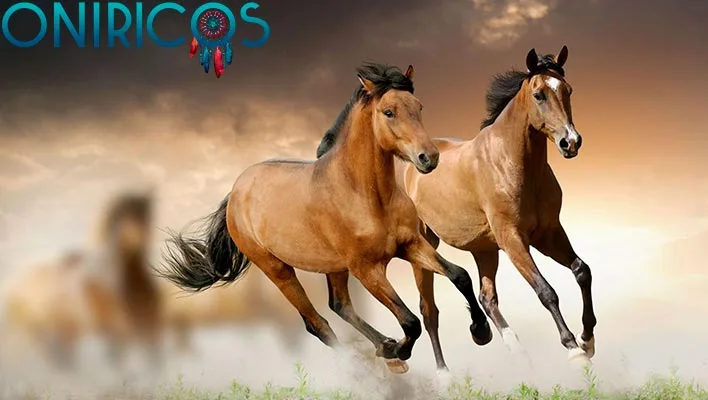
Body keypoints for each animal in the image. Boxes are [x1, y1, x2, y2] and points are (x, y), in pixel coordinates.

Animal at [159, 62, 492, 374]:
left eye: (419, 107)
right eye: (388, 112)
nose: (429, 158)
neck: (366, 195)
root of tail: (236, 191)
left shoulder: (410, 245)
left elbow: (460, 275)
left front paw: (481, 332)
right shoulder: (367, 269)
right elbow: (410, 321)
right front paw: (398, 350)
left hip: (334, 267)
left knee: (339, 305)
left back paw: (384, 348)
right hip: (278, 270)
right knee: (317, 323)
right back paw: (376, 361)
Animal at [316, 47, 596, 372]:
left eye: (567, 90)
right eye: (539, 95)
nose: (571, 142)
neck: (510, 163)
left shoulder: (548, 233)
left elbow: (582, 271)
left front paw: (587, 339)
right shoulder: (513, 239)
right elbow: (545, 290)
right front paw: (573, 348)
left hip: (483, 248)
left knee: (486, 298)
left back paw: (509, 346)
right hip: (425, 247)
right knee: (429, 311)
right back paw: (444, 372)